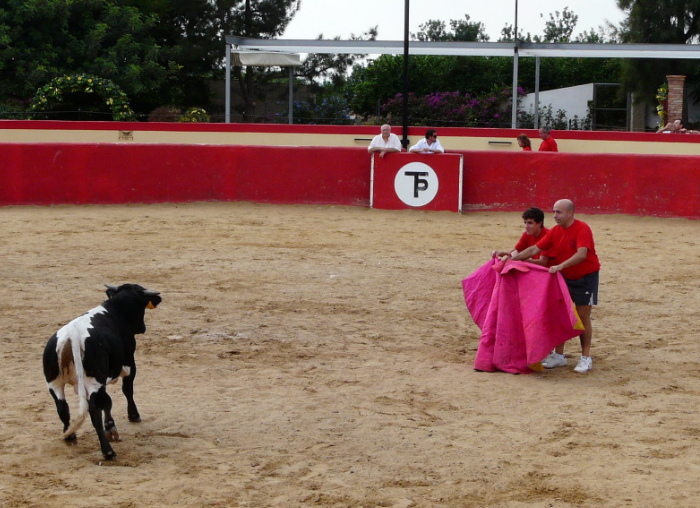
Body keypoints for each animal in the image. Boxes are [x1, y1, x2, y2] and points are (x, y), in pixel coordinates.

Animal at [42, 284, 161, 462]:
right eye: (141, 307)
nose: (142, 328)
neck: (116, 309)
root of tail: (71, 337)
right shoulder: (129, 364)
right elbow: (126, 391)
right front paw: (131, 416)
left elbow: (107, 401)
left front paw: (111, 426)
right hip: (94, 382)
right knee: (94, 411)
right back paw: (108, 451)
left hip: (54, 383)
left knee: (63, 408)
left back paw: (70, 436)